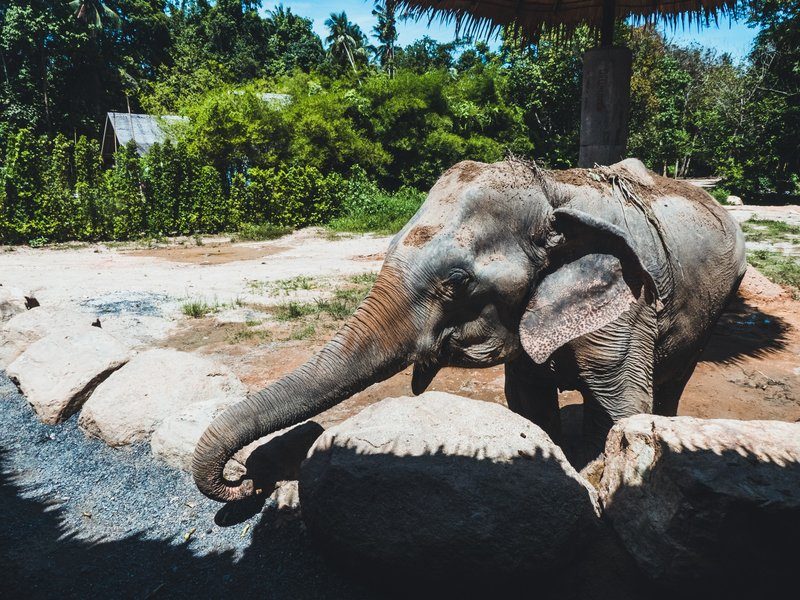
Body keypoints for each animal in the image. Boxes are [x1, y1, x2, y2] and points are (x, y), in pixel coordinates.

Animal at [193, 157, 747, 503]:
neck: (550, 187)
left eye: (457, 282)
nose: (247, 477)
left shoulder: (629, 303)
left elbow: (621, 401)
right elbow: (527, 400)